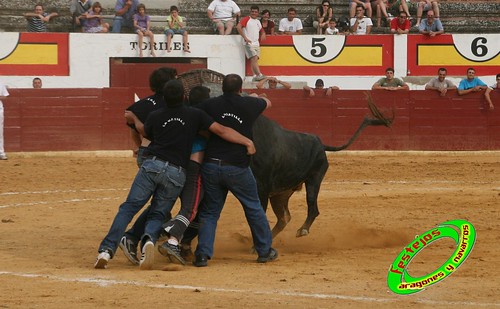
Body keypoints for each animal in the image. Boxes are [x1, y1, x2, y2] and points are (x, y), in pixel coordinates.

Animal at [250, 98, 390, 238]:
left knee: (312, 208)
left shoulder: (262, 187)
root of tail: (321, 145)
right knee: (284, 217)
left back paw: (303, 230)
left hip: (314, 179)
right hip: (281, 192)